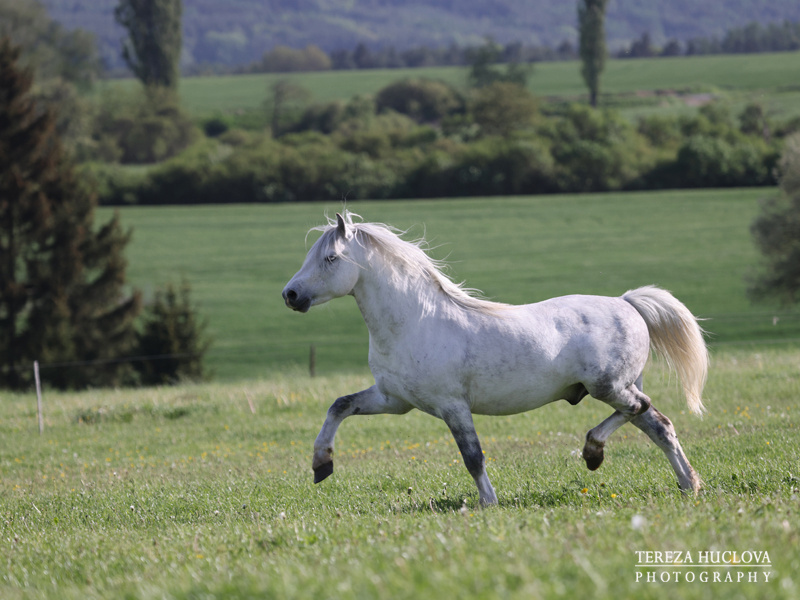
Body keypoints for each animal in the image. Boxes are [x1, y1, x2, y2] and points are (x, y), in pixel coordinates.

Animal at [282, 211, 708, 506]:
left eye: (331, 258)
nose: (290, 295)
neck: (414, 322)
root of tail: (627, 302)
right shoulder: (393, 399)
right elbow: (339, 406)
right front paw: (321, 465)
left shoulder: (452, 405)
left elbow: (472, 456)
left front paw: (488, 502)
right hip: (618, 387)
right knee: (658, 424)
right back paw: (687, 483)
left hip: (609, 386)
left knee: (641, 409)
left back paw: (593, 452)